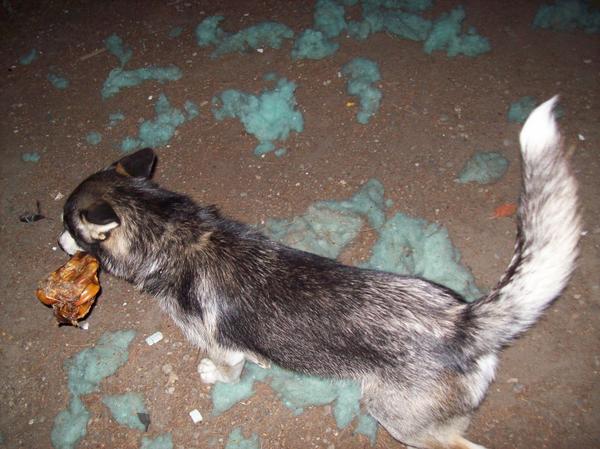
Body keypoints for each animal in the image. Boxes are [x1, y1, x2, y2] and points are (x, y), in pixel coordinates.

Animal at [58, 98, 580, 448]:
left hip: (395, 416)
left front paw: (215, 376)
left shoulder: (223, 347)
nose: (56, 243)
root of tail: (463, 323)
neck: (174, 234)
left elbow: (226, 369)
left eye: (68, 225)